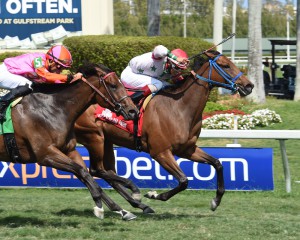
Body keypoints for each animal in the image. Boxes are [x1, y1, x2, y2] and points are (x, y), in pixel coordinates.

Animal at [0, 62, 140, 220]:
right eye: (113, 85)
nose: (133, 111)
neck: (53, 108)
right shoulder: (46, 155)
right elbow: (83, 172)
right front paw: (99, 205)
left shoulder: (70, 150)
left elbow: (86, 173)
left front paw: (124, 206)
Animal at [74, 51, 254, 214]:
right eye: (225, 65)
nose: (249, 85)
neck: (179, 107)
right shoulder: (160, 152)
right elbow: (183, 181)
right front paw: (155, 195)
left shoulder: (187, 149)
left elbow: (217, 163)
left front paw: (216, 201)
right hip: (94, 137)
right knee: (95, 170)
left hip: (106, 141)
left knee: (103, 172)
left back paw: (133, 206)